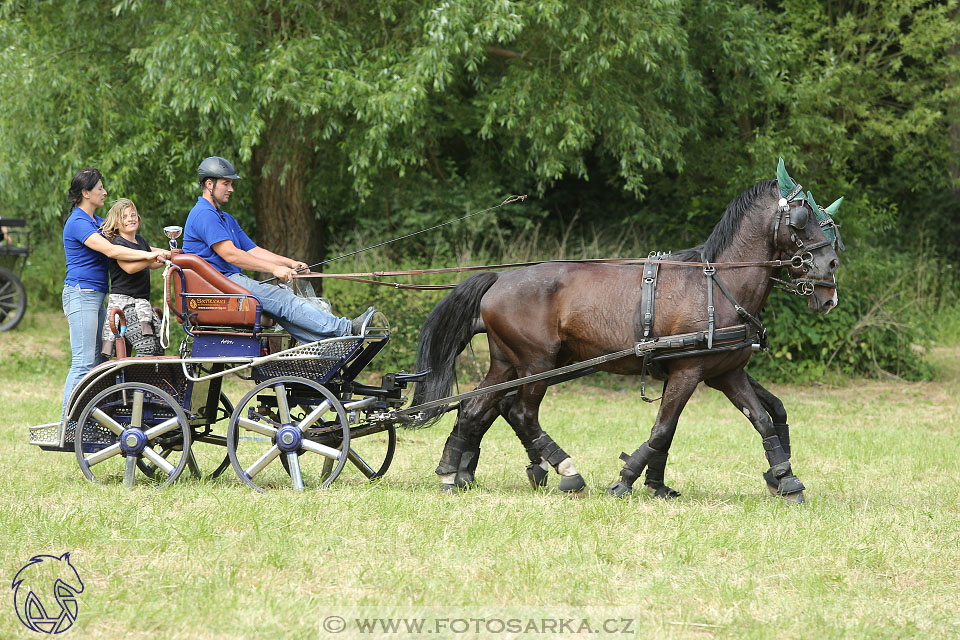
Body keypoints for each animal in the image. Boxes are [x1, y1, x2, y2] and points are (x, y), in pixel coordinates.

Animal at [412, 174, 840, 500]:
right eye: (802, 218)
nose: (830, 272)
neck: (717, 287)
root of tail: (499, 279)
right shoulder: (689, 371)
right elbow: (663, 428)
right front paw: (627, 480)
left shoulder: (725, 373)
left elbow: (764, 420)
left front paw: (786, 479)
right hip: (537, 363)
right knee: (520, 412)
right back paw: (566, 471)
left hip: (509, 363)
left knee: (476, 409)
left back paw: (454, 472)